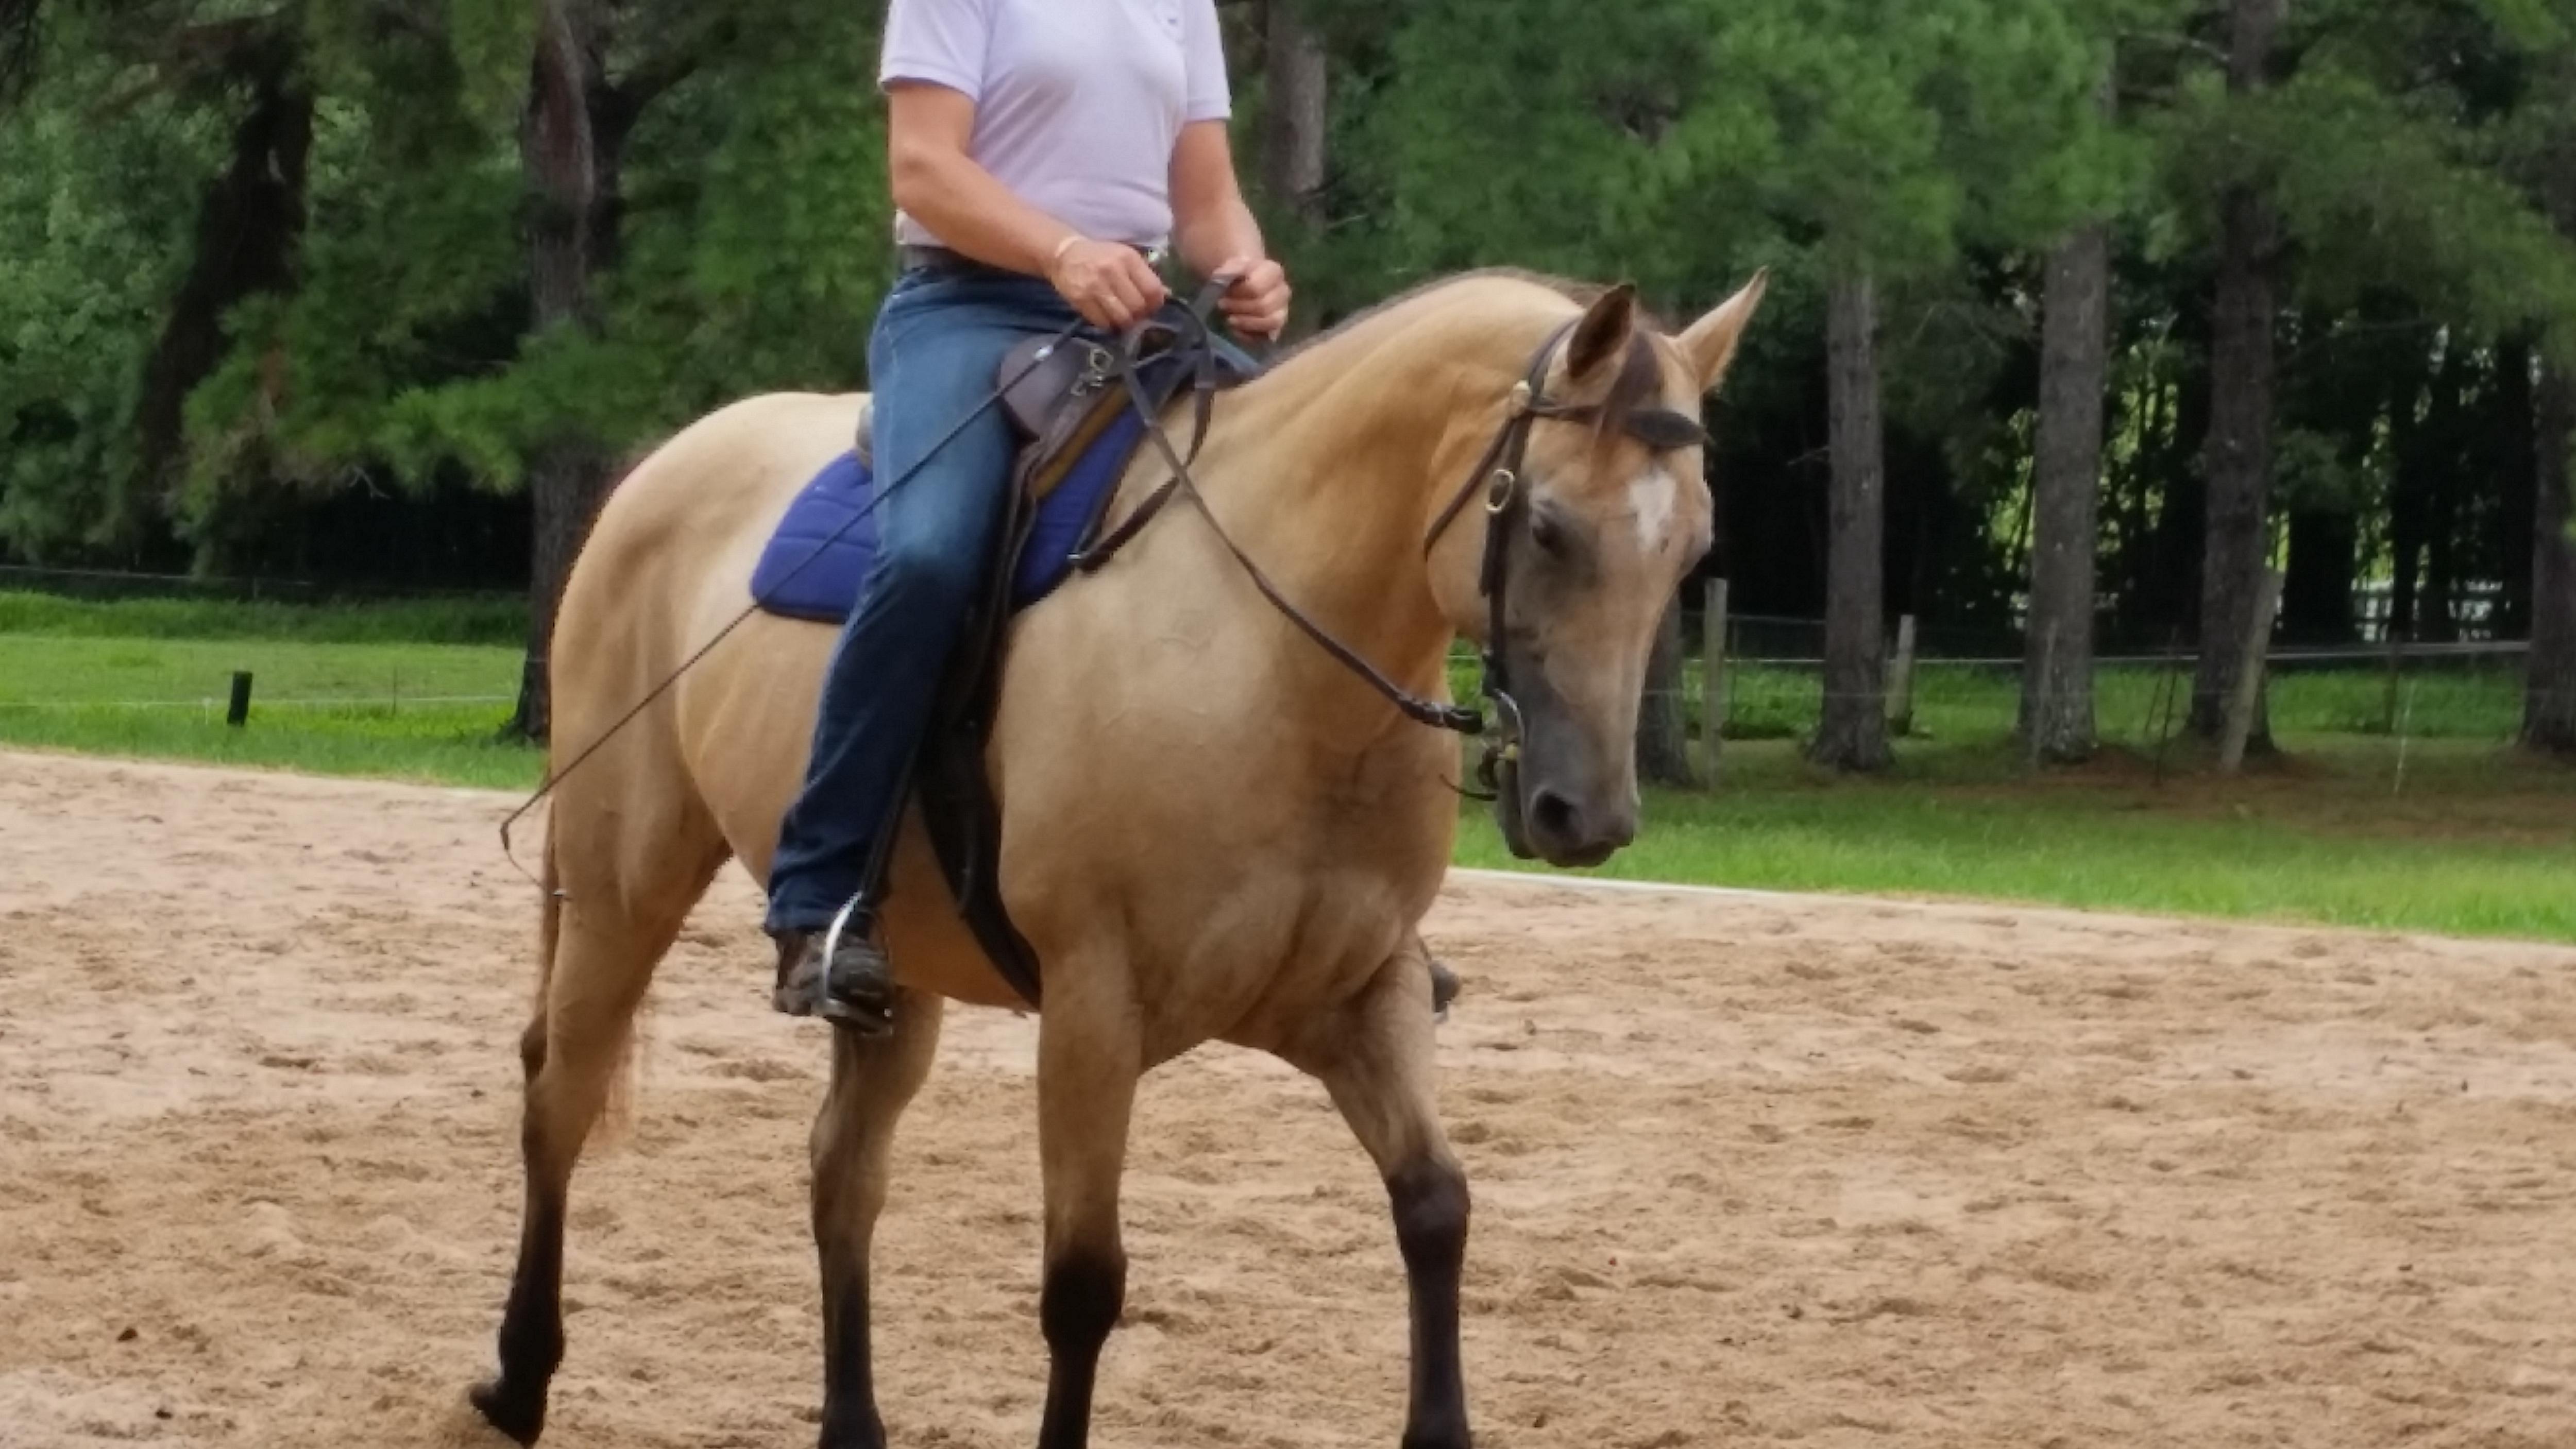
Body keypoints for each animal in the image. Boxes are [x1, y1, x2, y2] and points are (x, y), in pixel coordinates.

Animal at [467, 265, 1766, 1449]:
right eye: (1546, 525)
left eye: (1693, 544)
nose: (1583, 814)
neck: (1271, 660)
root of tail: (660, 472)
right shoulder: (1096, 1006)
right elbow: (1084, 1282)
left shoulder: (1362, 989)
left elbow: (1436, 1204)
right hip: (621, 888)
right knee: (561, 1095)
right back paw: (517, 1377)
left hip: (893, 979)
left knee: (842, 1169)